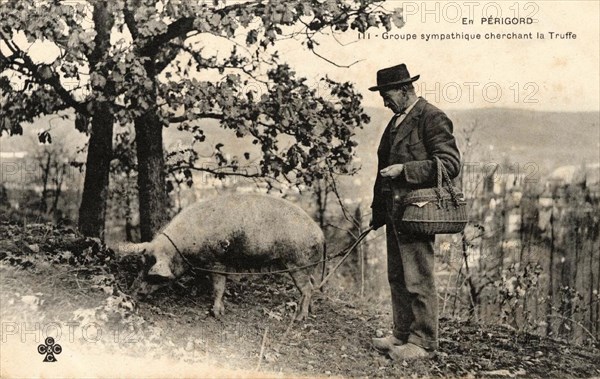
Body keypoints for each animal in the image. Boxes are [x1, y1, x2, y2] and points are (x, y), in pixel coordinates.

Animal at [124, 194, 326, 322]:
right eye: (142, 263)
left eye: (153, 273)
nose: (131, 293)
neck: (182, 247)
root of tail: (320, 233)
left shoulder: (217, 261)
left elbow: (218, 286)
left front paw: (216, 313)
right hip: (305, 265)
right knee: (312, 285)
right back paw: (310, 311)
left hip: (298, 263)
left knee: (307, 288)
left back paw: (299, 318)